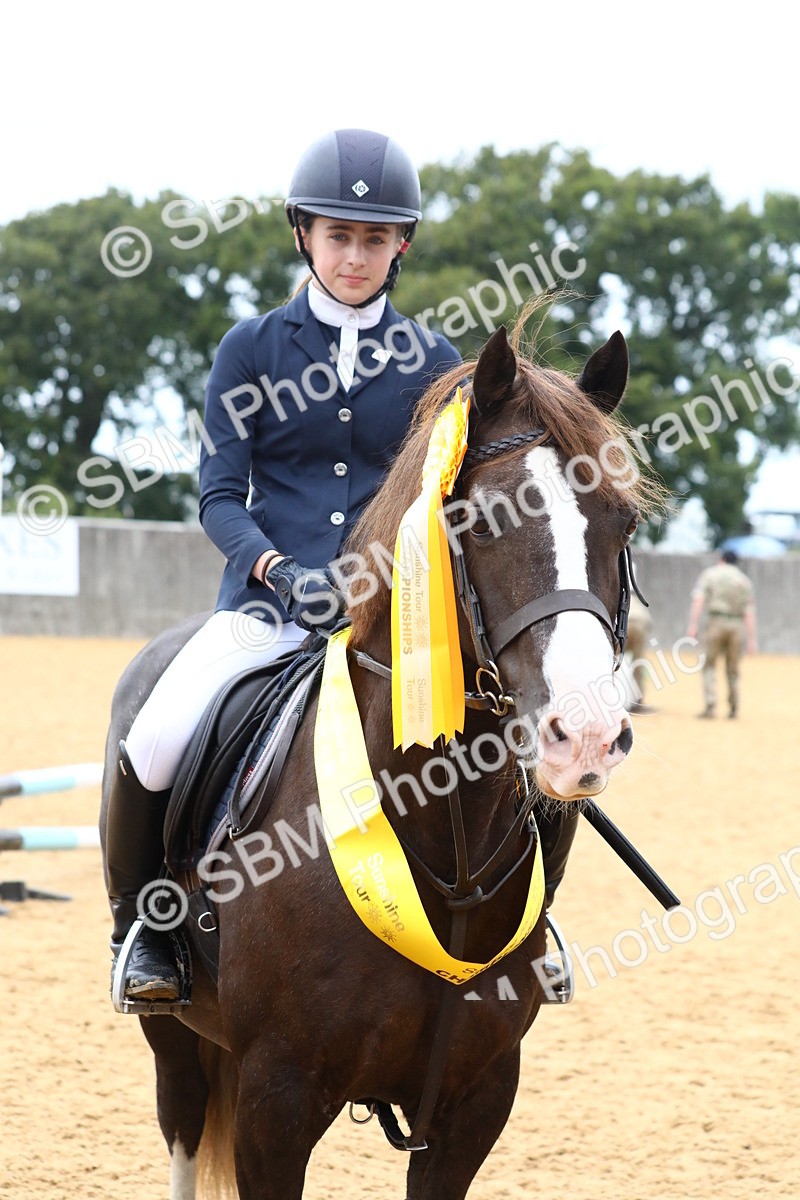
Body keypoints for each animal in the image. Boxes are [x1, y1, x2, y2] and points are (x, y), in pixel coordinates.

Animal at [100, 317, 654, 1199]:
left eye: (622, 523)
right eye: (481, 520)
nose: (589, 735)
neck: (442, 846)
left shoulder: (476, 1100)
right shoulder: (277, 1098)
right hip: (173, 1031)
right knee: (182, 1121)